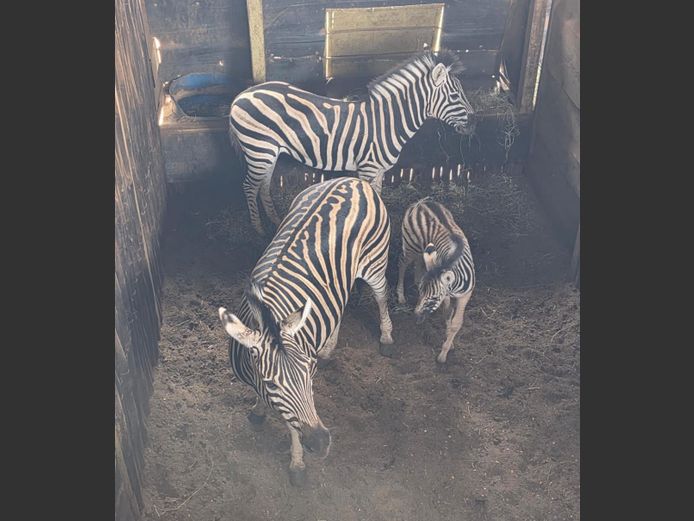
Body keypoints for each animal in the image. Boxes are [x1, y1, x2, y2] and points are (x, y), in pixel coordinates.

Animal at [217, 177, 394, 486]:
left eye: (310, 374)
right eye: (271, 383)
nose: (321, 444)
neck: (266, 316)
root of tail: (354, 180)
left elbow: (293, 424)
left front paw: (297, 464)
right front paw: (259, 411)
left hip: (374, 262)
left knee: (381, 295)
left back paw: (386, 336)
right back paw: (329, 347)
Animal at [228, 50, 475, 235]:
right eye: (455, 96)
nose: (474, 122)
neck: (388, 121)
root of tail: (242, 95)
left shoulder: (380, 171)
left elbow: (378, 199)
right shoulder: (368, 168)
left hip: (269, 152)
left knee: (263, 185)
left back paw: (275, 220)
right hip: (259, 149)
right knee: (249, 186)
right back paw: (258, 228)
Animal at [396, 199, 475, 364]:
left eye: (433, 297)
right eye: (421, 293)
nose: (415, 316)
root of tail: (422, 202)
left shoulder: (465, 295)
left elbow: (456, 322)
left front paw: (446, 348)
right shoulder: (446, 294)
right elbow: (447, 314)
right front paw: (446, 349)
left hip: (423, 250)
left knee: (418, 269)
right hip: (411, 245)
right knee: (402, 263)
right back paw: (400, 295)